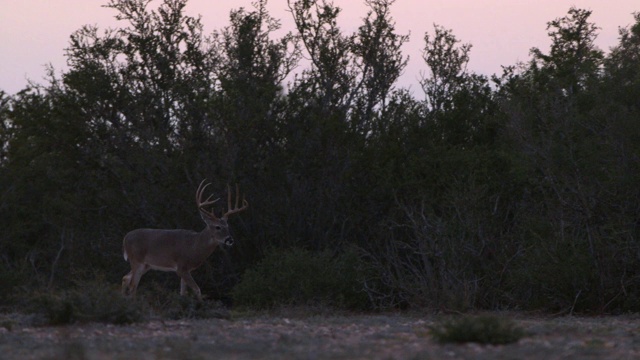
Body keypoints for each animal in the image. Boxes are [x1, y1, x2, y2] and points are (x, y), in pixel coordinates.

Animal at [121, 180, 249, 300]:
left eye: (227, 226)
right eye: (217, 227)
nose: (230, 239)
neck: (194, 246)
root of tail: (125, 238)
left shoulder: (187, 269)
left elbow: (183, 293)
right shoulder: (181, 267)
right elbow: (197, 289)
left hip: (146, 265)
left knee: (125, 278)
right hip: (136, 260)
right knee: (132, 286)